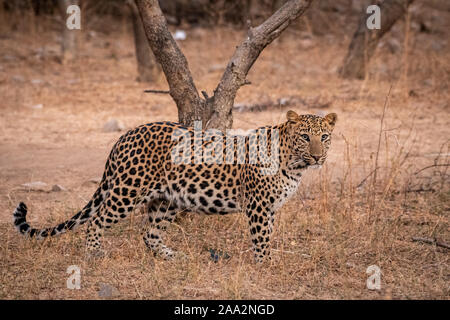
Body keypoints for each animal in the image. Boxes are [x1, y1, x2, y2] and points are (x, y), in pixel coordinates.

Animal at [12, 110, 336, 262]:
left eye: (324, 136)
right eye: (305, 136)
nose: (318, 156)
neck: (293, 163)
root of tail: (125, 135)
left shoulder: (270, 208)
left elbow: (267, 235)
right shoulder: (258, 206)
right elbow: (261, 239)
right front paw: (266, 265)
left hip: (165, 200)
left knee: (149, 234)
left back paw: (172, 256)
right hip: (127, 191)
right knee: (97, 219)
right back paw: (94, 254)